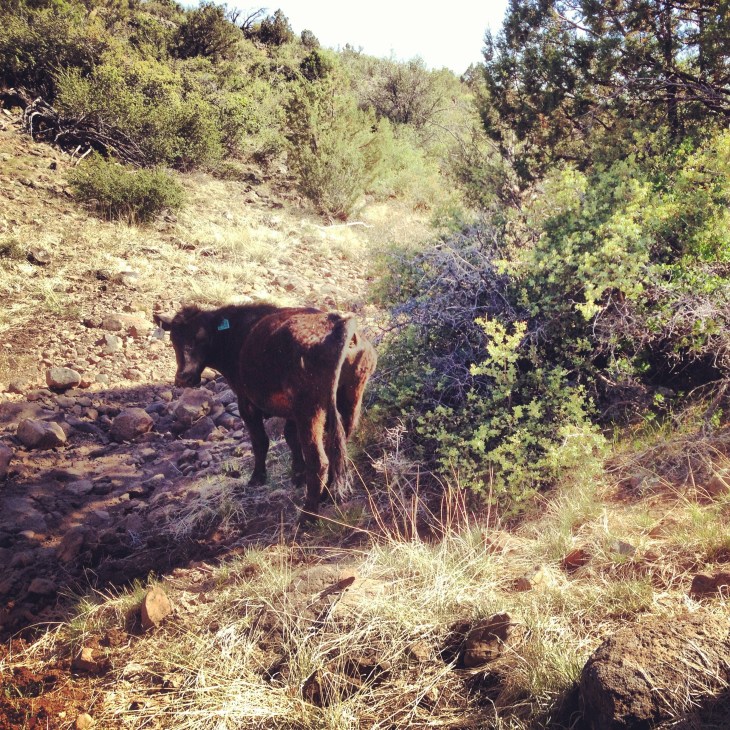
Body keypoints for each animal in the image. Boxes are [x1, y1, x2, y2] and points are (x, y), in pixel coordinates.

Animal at [154, 303, 377, 521]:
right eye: (174, 339)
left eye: (201, 338)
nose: (183, 378)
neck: (235, 333)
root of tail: (338, 324)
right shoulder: (292, 413)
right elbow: (290, 437)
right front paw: (297, 475)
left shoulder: (247, 403)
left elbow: (261, 441)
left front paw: (257, 478)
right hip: (350, 401)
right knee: (337, 448)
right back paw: (326, 495)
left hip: (310, 411)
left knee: (319, 460)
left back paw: (307, 516)